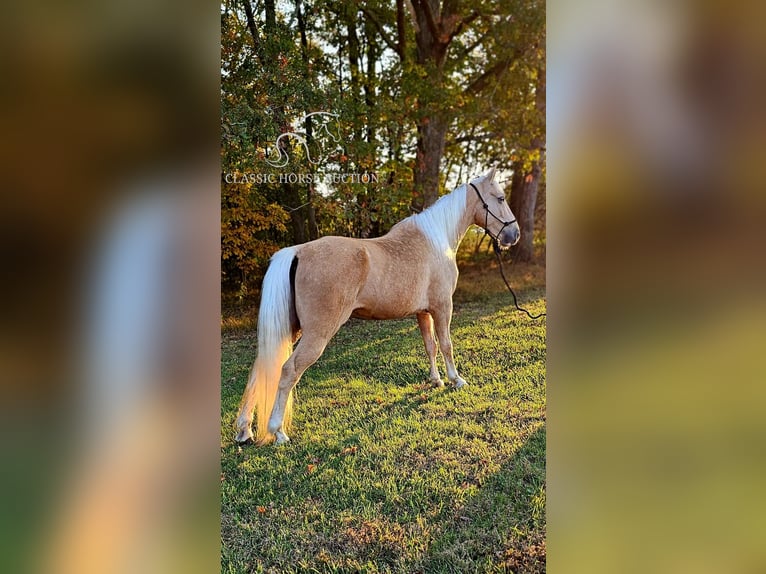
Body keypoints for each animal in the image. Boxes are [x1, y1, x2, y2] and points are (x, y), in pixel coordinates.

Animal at [234, 166, 520, 446]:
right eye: (500, 198)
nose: (513, 234)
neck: (437, 240)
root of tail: (298, 251)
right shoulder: (442, 307)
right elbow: (447, 345)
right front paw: (456, 379)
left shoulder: (423, 313)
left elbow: (430, 346)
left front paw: (436, 380)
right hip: (316, 334)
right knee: (288, 371)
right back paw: (278, 431)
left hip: (292, 330)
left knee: (260, 369)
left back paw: (244, 430)